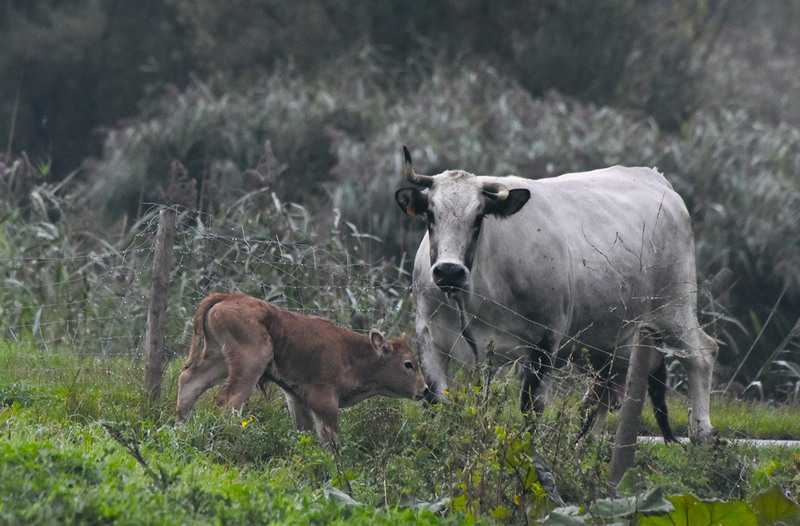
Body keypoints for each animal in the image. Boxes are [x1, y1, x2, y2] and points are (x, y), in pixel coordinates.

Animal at [176, 293, 428, 447]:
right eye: (408, 364)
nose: (424, 389)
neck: (350, 353)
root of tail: (229, 296)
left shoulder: (297, 400)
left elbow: (304, 432)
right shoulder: (325, 403)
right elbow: (331, 441)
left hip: (217, 360)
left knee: (189, 381)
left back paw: (180, 428)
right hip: (250, 364)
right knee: (228, 402)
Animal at [394, 147, 717, 451]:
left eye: (478, 217)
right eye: (430, 215)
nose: (449, 271)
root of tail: (656, 179)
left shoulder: (545, 339)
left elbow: (530, 406)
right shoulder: (430, 336)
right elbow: (437, 399)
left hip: (674, 308)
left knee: (702, 353)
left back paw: (701, 432)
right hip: (609, 335)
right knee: (606, 386)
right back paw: (585, 443)